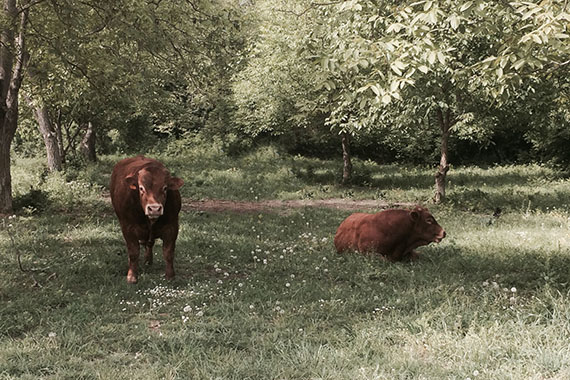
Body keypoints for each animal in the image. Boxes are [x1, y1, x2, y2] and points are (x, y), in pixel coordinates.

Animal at [110, 156, 183, 284]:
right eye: (141, 188)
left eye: (165, 188)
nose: (154, 208)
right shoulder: (128, 227)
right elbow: (133, 252)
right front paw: (132, 276)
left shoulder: (172, 226)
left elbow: (168, 253)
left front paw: (170, 276)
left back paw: (148, 261)